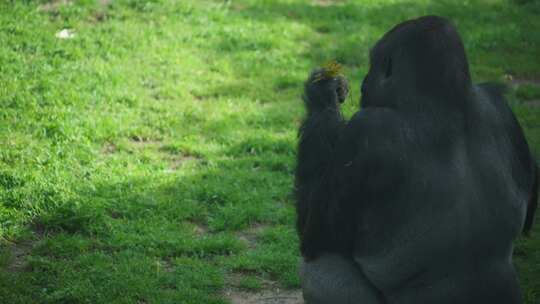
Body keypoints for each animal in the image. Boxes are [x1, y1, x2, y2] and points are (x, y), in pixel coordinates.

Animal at [296, 16, 540, 304]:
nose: (365, 82)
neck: (445, 99)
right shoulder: (498, 103)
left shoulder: (364, 131)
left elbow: (315, 236)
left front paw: (323, 95)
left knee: (320, 267)